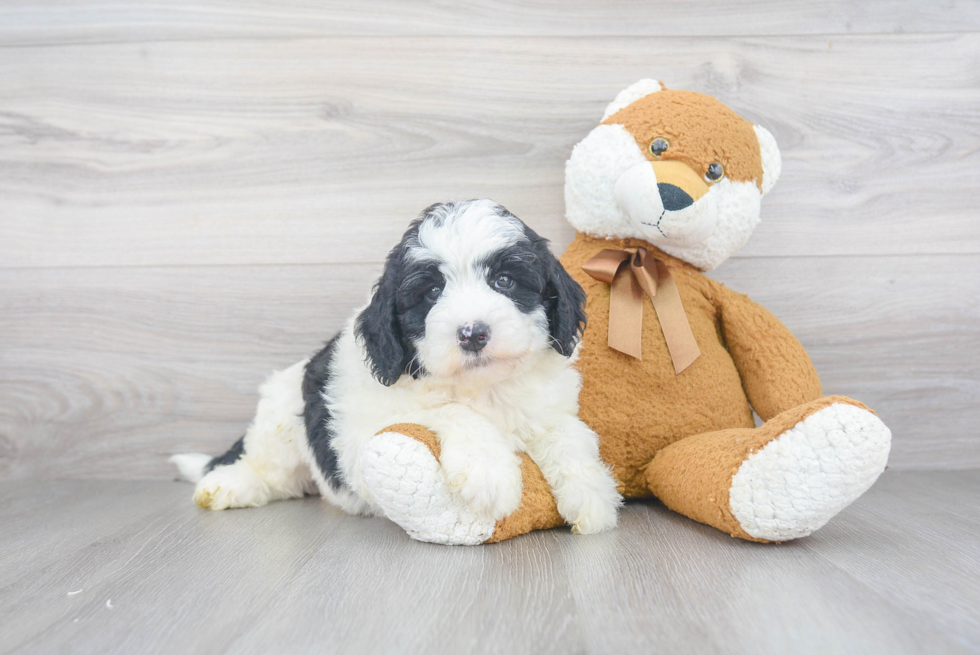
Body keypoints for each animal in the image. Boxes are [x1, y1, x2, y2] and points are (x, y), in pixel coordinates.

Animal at [173, 201, 620, 544]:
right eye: (432, 292)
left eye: (505, 280)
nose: (473, 333)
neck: (482, 387)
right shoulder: (363, 430)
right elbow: (446, 410)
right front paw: (489, 470)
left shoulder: (547, 406)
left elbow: (568, 435)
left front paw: (593, 494)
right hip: (282, 420)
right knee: (267, 467)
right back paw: (229, 485)